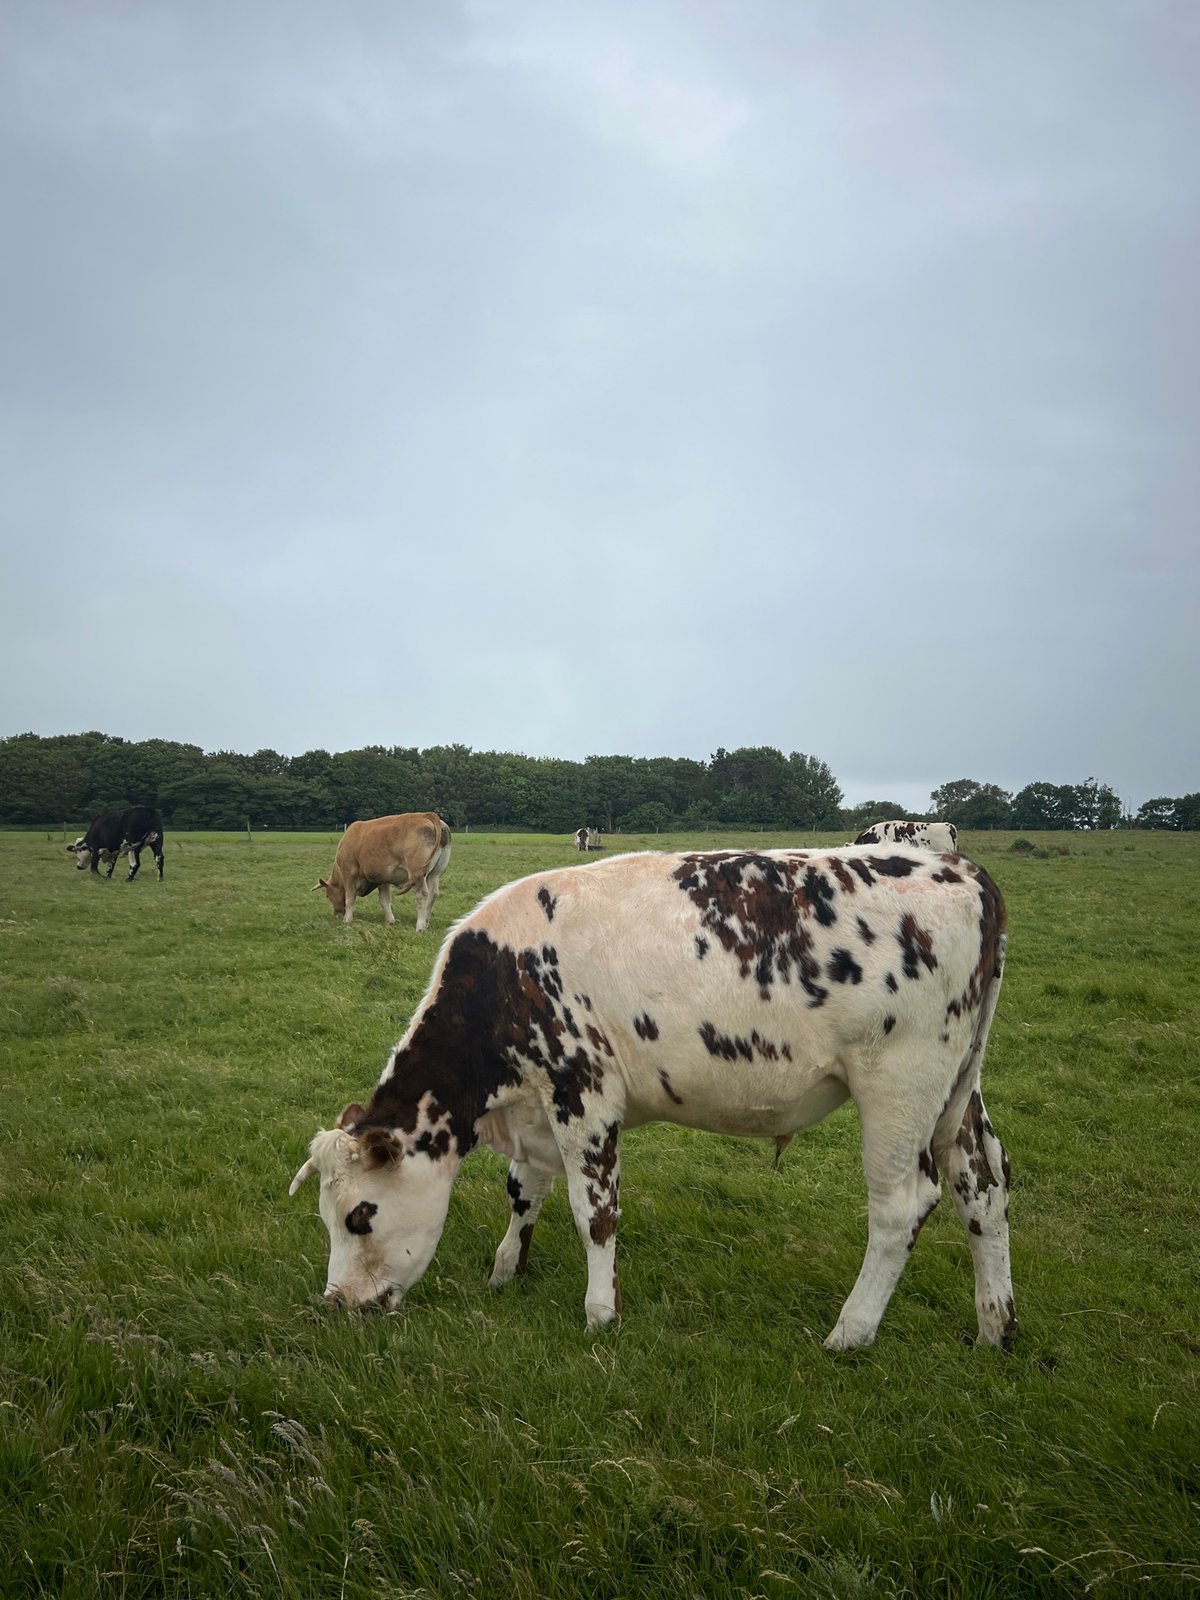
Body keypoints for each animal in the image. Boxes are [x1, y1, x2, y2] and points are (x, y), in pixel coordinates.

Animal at [290, 844, 1016, 1352]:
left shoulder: (581, 1091)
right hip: (958, 1089)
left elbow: (594, 1211)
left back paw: (851, 1332)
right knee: (982, 1185)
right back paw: (996, 1326)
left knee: (901, 1205)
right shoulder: (539, 1104)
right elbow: (524, 1190)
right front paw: (506, 1269)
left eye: (360, 1216)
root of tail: (960, 869)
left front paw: (600, 1313)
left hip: (900, 1084)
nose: (336, 1301)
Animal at [314, 812, 451, 931]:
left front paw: (347, 920)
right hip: (434, 874)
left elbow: (350, 899)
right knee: (433, 894)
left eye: (327, 895)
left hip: (417, 874)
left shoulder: (349, 874)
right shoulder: (383, 879)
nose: (336, 914)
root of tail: (426, 815)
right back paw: (426, 923)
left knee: (422, 895)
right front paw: (390, 921)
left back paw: (420, 926)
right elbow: (385, 901)